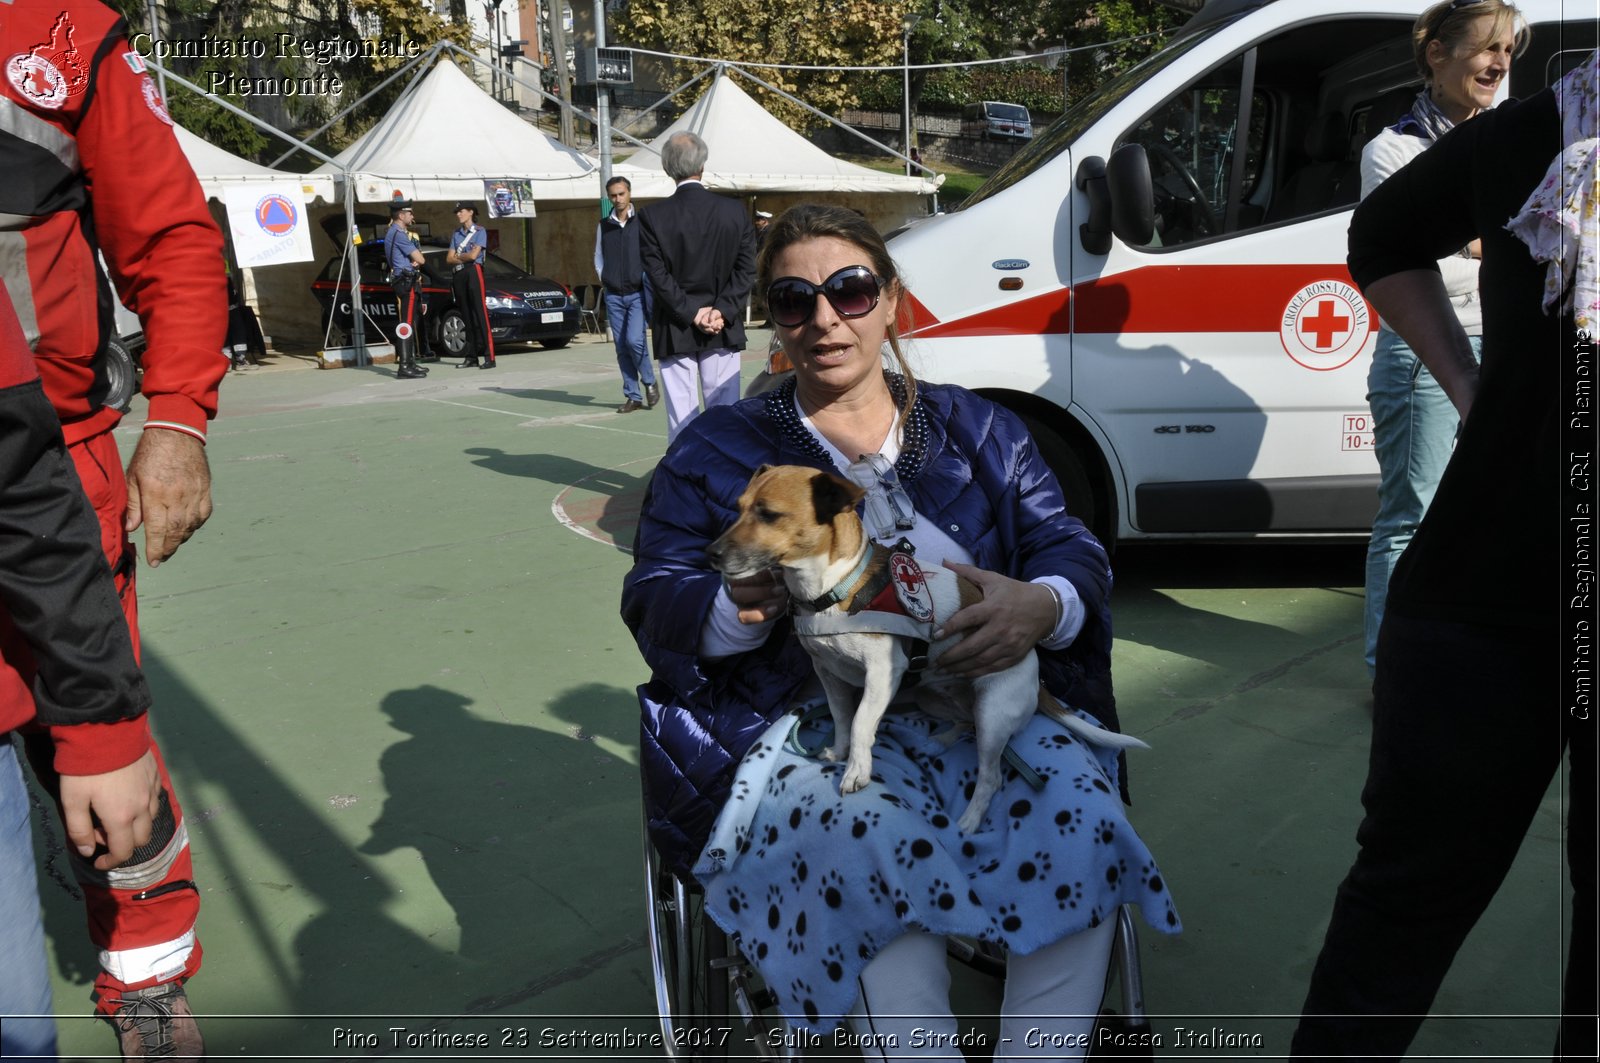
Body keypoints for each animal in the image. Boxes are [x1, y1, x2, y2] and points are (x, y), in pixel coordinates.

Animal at [707, 461, 1132, 832]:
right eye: (739, 508)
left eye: (768, 514)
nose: (711, 554)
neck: (834, 588)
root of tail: (1035, 673)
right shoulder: (829, 675)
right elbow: (841, 718)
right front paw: (840, 752)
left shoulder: (882, 673)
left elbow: (860, 722)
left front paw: (857, 769)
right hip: (936, 698)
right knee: (964, 724)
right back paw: (937, 742)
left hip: (994, 712)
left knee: (990, 774)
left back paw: (970, 820)